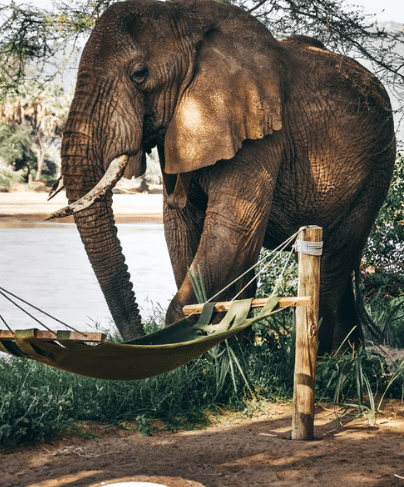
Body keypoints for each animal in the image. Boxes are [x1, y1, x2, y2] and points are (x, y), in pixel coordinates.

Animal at [52, 0, 396, 354]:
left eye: (139, 75)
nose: (136, 339)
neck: (184, 18)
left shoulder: (261, 134)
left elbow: (231, 229)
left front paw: (186, 346)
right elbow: (180, 227)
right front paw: (218, 348)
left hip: (377, 167)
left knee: (334, 260)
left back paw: (330, 356)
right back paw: (348, 353)